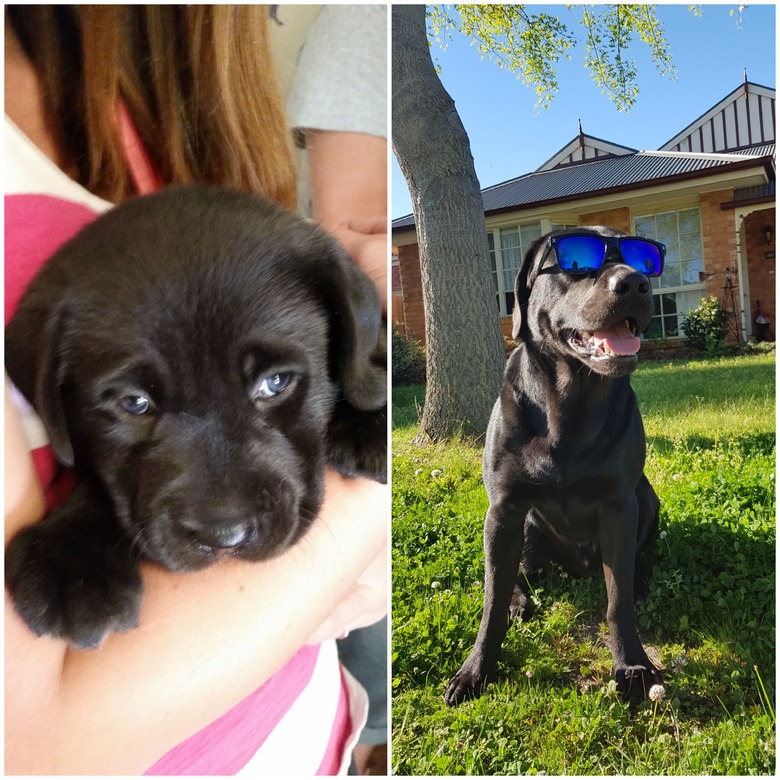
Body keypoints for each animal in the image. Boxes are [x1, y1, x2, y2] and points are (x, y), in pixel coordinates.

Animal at [444, 222, 664, 704]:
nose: (636, 283)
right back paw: (519, 601)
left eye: (643, 260)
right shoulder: (504, 509)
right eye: (576, 261)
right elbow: (490, 602)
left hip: (646, 497)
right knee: (512, 578)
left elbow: (617, 601)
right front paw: (475, 670)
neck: (571, 406)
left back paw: (640, 579)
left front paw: (632, 665)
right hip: (522, 529)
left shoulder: (620, 505)